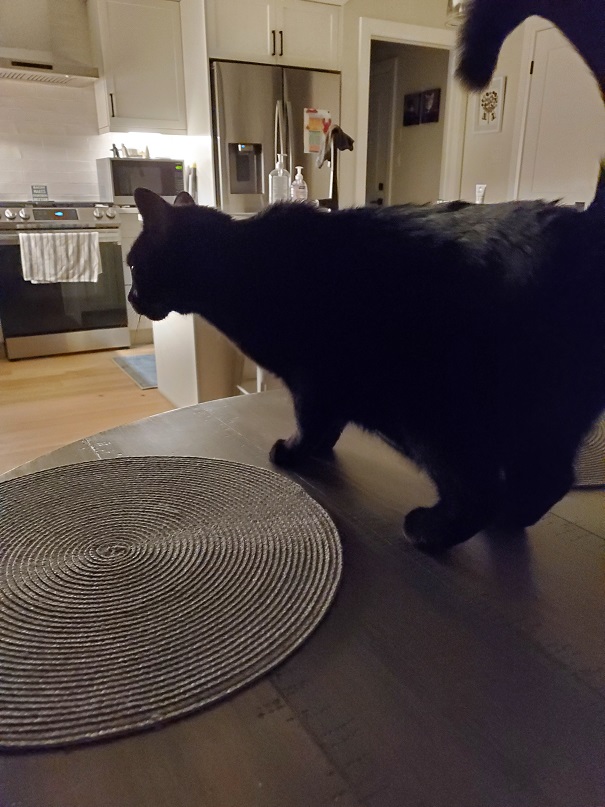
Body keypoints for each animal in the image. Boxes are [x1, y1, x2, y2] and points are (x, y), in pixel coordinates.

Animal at [126, 174, 604, 552]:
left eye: (132, 264)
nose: (129, 297)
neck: (239, 264)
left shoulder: (312, 378)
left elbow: (310, 422)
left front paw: (294, 453)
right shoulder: (329, 385)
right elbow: (330, 424)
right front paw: (319, 451)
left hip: (436, 413)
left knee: (481, 490)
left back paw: (429, 533)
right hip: (547, 418)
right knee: (549, 479)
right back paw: (508, 521)